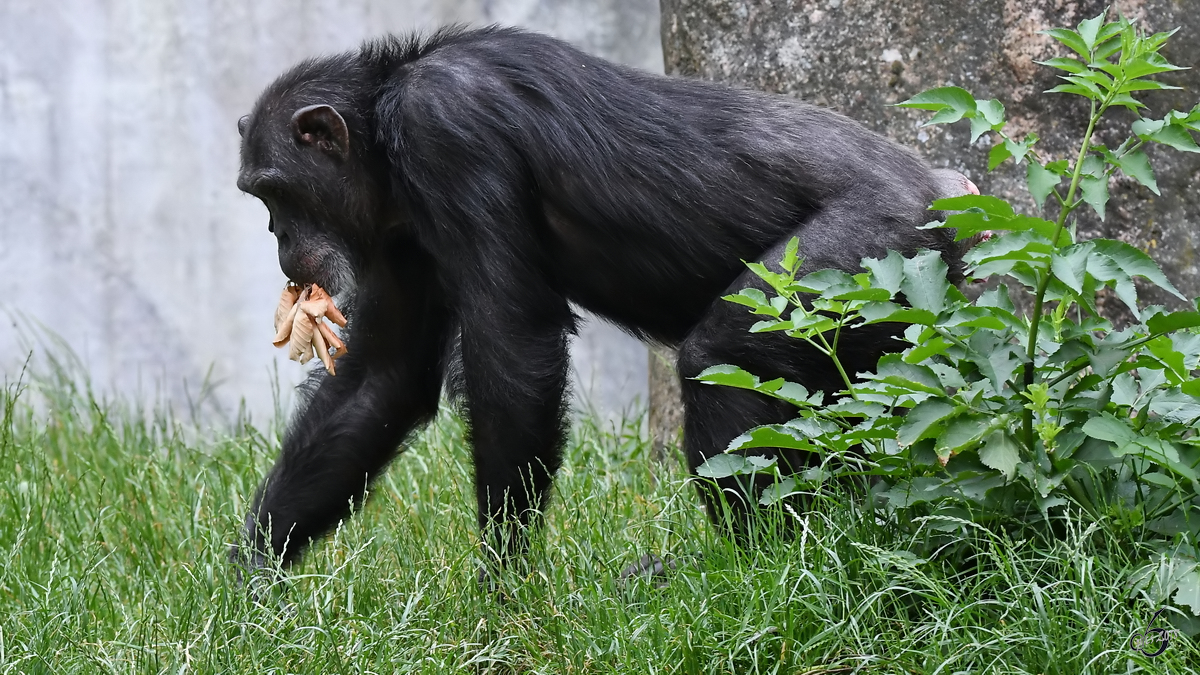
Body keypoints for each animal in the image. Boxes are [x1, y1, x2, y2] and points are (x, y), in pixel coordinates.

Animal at [231, 24, 974, 571]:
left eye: (274, 191)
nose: (278, 237)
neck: (385, 121)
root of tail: (949, 191)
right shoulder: (393, 237)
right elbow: (382, 379)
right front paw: (250, 581)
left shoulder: (446, 131)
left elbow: (514, 343)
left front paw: (504, 582)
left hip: (866, 250)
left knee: (722, 354)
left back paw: (753, 567)